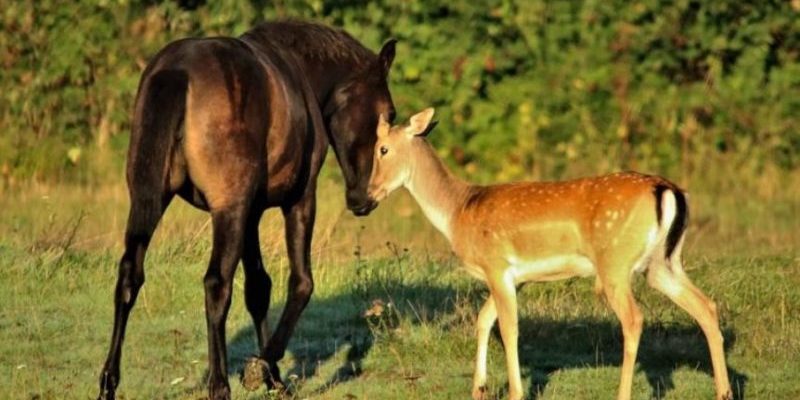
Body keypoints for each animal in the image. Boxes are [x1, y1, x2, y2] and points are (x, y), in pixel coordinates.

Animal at [98, 21, 398, 400]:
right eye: (390, 114)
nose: (365, 199)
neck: (300, 71)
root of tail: (178, 71)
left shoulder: (251, 212)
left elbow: (258, 288)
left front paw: (274, 377)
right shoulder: (297, 200)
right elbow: (301, 282)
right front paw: (262, 369)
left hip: (148, 199)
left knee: (129, 276)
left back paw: (108, 383)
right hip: (229, 209)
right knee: (216, 284)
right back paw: (219, 385)